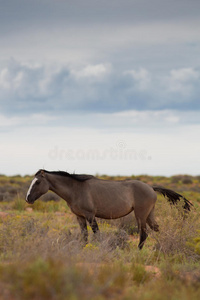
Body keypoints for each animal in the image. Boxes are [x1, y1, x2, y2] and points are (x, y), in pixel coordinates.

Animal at [25, 170, 192, 250]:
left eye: (37, 182)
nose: (28, 198)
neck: (76, 189)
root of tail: (151, 187)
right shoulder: (79, 217)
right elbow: (84, 236)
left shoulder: (90, 216)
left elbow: (97, 234)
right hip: (149, 215)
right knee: (158, 230)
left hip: (140, 215)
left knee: (144, 234)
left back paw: (138, 252)